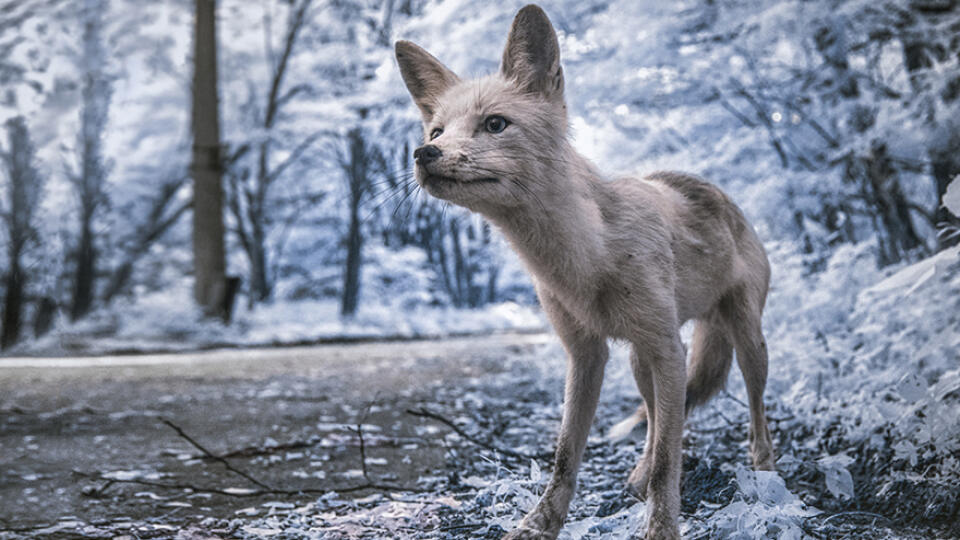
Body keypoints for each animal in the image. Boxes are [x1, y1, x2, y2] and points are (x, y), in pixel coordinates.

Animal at [394, 5, 776, 540]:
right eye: (437, 132)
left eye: (495, 124)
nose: (424, 154)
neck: (588, 258)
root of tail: (710, 188)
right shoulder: (586, 353)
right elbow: (566, 456)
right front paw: (540, 525)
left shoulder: (665, 347)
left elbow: (669, 461)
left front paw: (662, 528)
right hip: (642, 361)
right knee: (657, 419)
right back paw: (636, 474)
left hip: (742, 341)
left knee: (752, 410)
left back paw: (765, 470)